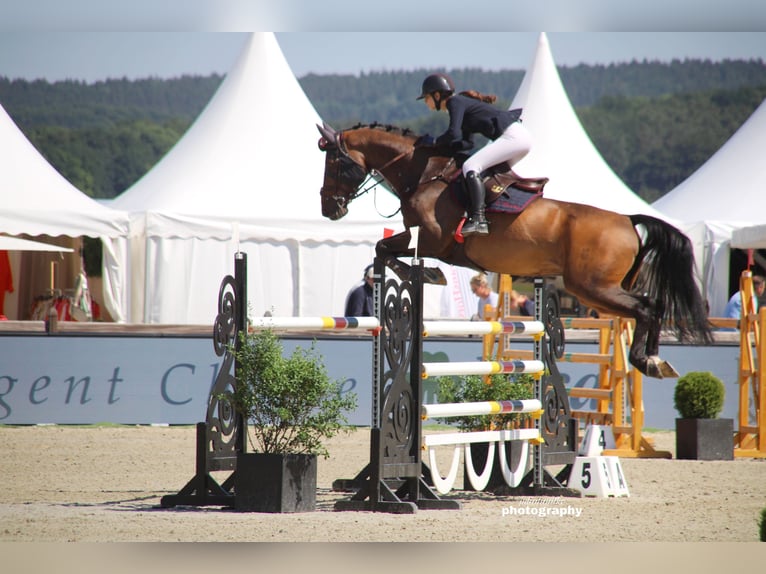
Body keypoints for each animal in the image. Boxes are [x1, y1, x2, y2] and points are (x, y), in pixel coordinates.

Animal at [316, 124, 712, 380]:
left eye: (334, 162)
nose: (328, 209)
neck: (425, 175)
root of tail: (628, 220)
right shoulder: (425, 240)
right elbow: (384, 249)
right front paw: (424, 272)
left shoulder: (430, 239)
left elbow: (384, 248)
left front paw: (428, 273)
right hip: (603, 289)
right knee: (651, 305)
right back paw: (654, 360)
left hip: (593, 288)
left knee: (648, 306)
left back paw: (648, 361)